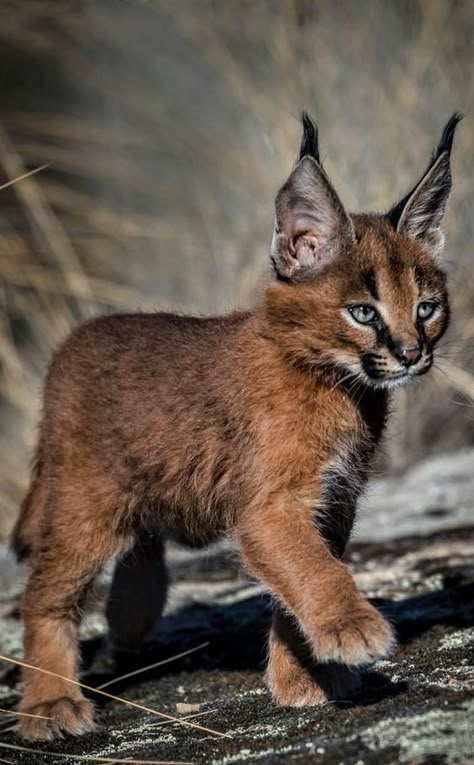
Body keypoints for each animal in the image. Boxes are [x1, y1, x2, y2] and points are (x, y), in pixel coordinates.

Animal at [12, 110, 460, 736]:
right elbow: (314, 568)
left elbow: (297, 577)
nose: (411, 354)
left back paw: (130, 614)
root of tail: (73, 341)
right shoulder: (272, 505)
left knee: (143, 542)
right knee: (45, 593)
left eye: (426, 308)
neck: (338, 385)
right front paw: (353, 629)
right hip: (85, 502)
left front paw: (303, 680)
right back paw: (49, 703)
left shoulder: (334, 499)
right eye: (363, 313)